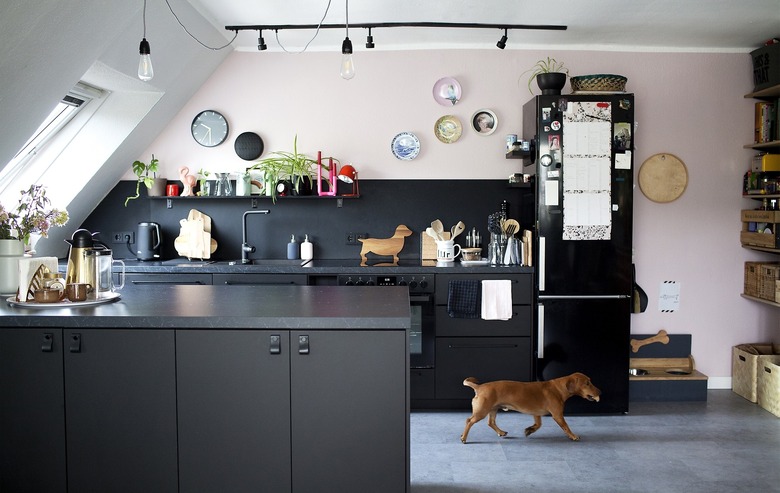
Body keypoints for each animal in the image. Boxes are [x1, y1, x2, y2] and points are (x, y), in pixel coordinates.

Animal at [460, 372, 600, 442]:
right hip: (481, 411)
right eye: (587, 383)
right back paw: (464, 438)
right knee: (469, 421)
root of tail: (479, 387)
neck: (559, 388)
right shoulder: (558, 415)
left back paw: (501, 432)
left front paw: (529, 430)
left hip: (493, 409)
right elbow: (566, 427)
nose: (600, 392)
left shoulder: (537, 414)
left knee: (491, 423)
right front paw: (573, 436)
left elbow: (538, 425)